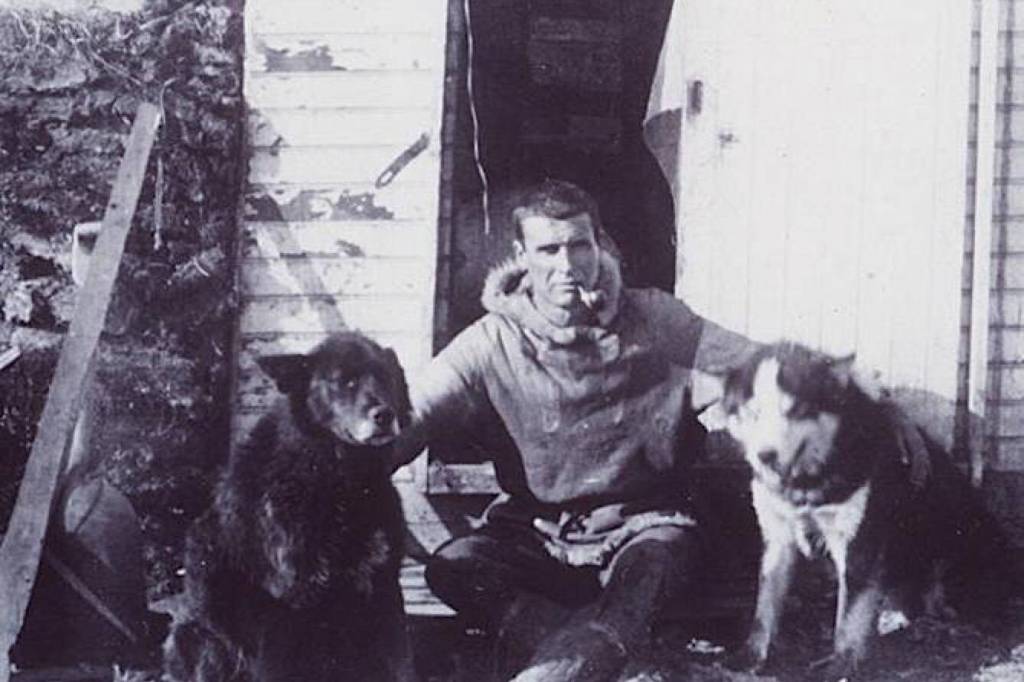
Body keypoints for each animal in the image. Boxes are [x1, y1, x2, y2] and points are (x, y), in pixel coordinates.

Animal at [163, 331, 414, 682]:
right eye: (344, 381)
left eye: (386, 376)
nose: (384, 414)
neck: (340, 483)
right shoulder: (285, 605)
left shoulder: (383, 588)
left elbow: (402, 664)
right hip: (202, 636)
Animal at [721, 342, 1008, 680]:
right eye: (752, 413)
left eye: (795, 411)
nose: (765, 455)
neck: (810, 479)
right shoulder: (778, 537)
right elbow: (764, 606)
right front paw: (751, 655)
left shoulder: (857, 542)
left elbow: (848, 615)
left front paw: (841, 664)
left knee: (941, 605)